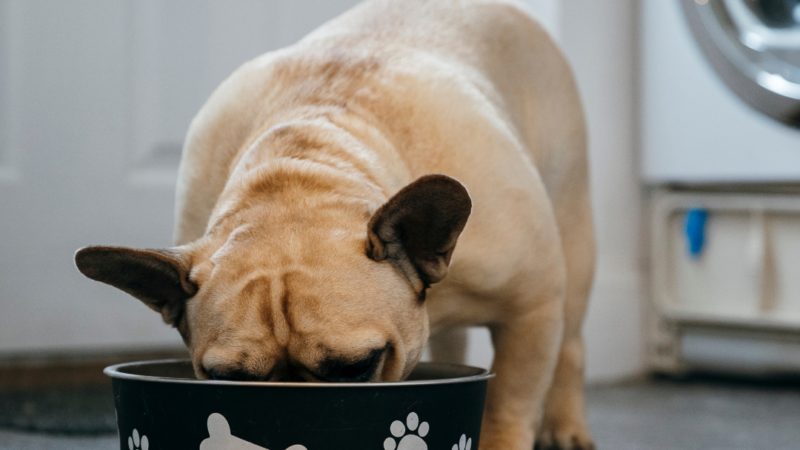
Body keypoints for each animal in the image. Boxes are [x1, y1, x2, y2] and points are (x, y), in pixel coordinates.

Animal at [75, 1, 592, 448]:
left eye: (355, 367)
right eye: (227, 378)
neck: (306, 163)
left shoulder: (532, 306)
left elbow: (508, 405)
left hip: (574, 245)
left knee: (570, 347)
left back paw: (566, 427)